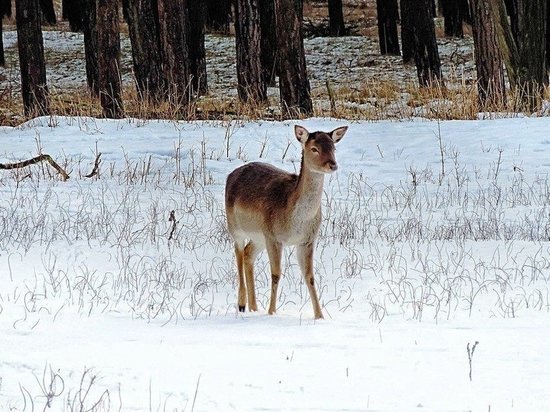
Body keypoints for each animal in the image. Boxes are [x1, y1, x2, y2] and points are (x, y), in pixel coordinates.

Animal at [225, 124, 350, 320]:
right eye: (314, 149)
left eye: (333, 147)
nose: (332, 165)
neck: (296, 220)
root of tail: (231, 175)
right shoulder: (274, 237)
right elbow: (276, 274)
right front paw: (272, 312)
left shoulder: (307, 240)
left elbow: (310, 276)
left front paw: (320, 316)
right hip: (235, 227)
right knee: (238, 253)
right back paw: (242, 304)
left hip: (259, 237)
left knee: (248, 254)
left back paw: (254, 307)